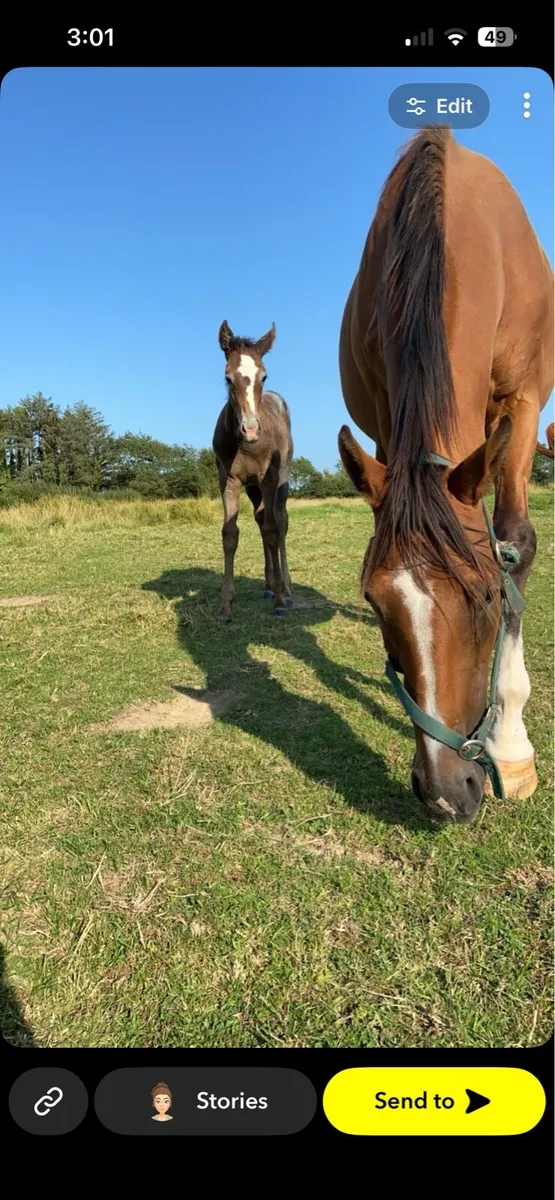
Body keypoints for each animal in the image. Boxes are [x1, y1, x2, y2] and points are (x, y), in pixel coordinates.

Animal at [212, 320, 294, 621]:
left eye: (264, 377)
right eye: (227, 378)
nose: (250, 429)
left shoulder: (269, 479)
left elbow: (272, 530)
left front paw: (280, 602)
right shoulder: (229, 480)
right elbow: (230, 534)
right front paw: (225, 606)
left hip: (281, 482)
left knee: (280, 522)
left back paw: (286, 587)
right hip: (252, 488)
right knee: (261, 518)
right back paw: (270, 586)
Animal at [337, 125, 553, 825]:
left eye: (486, 597)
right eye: (373, 602)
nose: (445, 793)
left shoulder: (523, 400)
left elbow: (515, 542)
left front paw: (511, 746)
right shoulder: (386, 416)